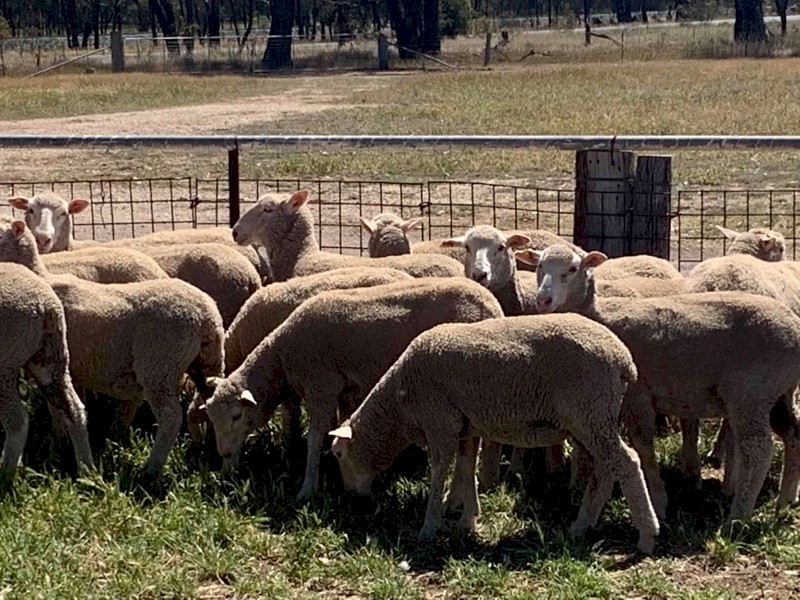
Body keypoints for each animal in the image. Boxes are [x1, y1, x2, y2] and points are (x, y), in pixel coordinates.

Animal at [0, 259, 94, 478]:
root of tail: (44, 304)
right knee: (74, 409)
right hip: (51, 356)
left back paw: (6, 473)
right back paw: (86, 470)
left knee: (18, 422)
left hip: (6, 362)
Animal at [197, 278, 504, 501]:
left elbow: (315, 437)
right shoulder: (345, 391)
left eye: (236, 416)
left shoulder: (321, 385)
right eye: (211, 419)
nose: (223, 457)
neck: (281, 356)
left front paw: (308, 488)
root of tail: (492, 304)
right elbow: (341, 426)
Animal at [328, 314, 659, 554]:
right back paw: (582, 526)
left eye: (338, 454)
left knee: (627, 463)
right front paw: (468, 520)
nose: (351, 499)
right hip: (591, 419)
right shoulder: (464, 425)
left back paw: (646, 536)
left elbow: (439, 472)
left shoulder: (439, 421)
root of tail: (623, 359)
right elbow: (466, 467)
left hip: (590, 411)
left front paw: (429, 527)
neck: (400, 402)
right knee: (605, 469)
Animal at [524, 243, 800, 523]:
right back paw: (784, 503)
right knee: (793, 434)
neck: (598, 316)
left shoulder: (637, 395)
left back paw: (738, 518)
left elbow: (644, 445)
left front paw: (658, 501)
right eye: (540, 266)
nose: (543, 300)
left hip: (751, 392)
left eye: (573, 269)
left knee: (758, 449)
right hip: (779, 392)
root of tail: (795, 328)